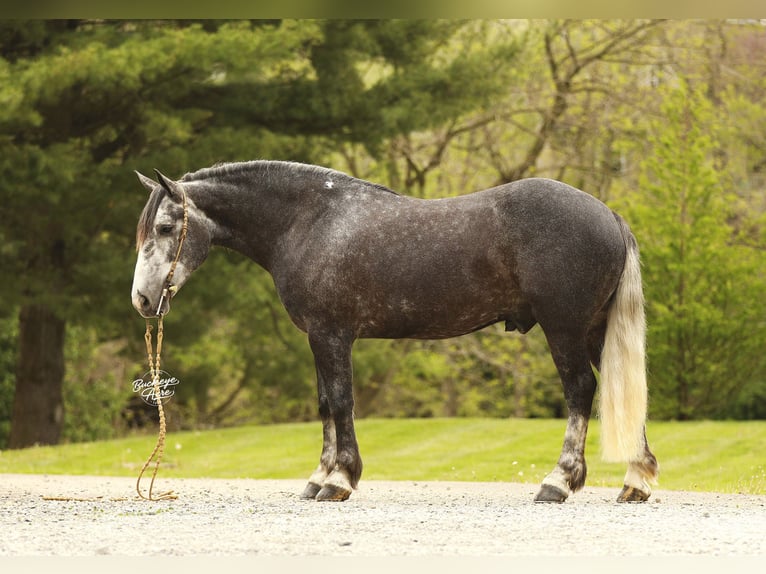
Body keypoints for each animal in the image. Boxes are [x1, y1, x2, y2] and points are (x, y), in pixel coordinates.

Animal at [130, 160, 659, 503]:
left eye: (164, 228)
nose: (142, 300)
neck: (309, 221)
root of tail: (610, 216)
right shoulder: (317, 338)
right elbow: (325, 404)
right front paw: (319, 477)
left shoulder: (331, 335)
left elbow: (340, 401)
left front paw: (340, 481)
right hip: (594, 330)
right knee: (628, 393)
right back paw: (635, 482)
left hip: (564, 328)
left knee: (581, 391)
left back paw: (558, 482)